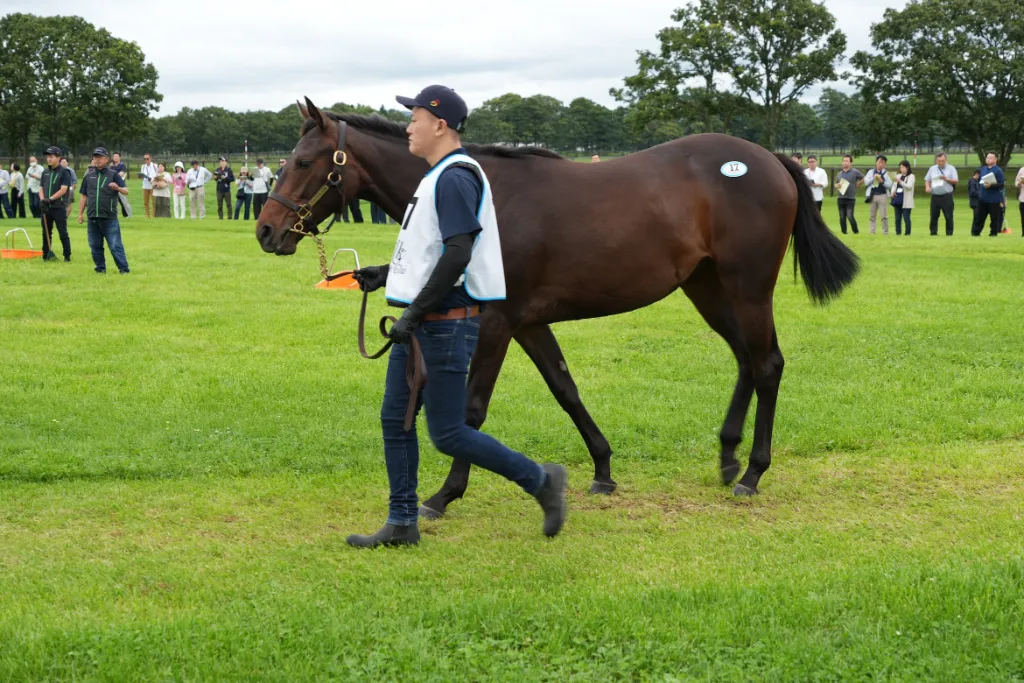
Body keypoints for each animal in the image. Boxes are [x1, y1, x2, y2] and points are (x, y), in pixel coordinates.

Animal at [256, 97, 859, 516]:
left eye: (303, 161)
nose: (267, 230)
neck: (484, 194)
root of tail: (769, 160)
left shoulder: (498, 322)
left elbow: (471, 410)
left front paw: (446, 493)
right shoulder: (529, 323)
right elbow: (566, 389)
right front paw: (603, 468)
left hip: (748, 287)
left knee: (768, 364)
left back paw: (752, 473)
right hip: (707, 288)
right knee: (745, 361)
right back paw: (729, 456)